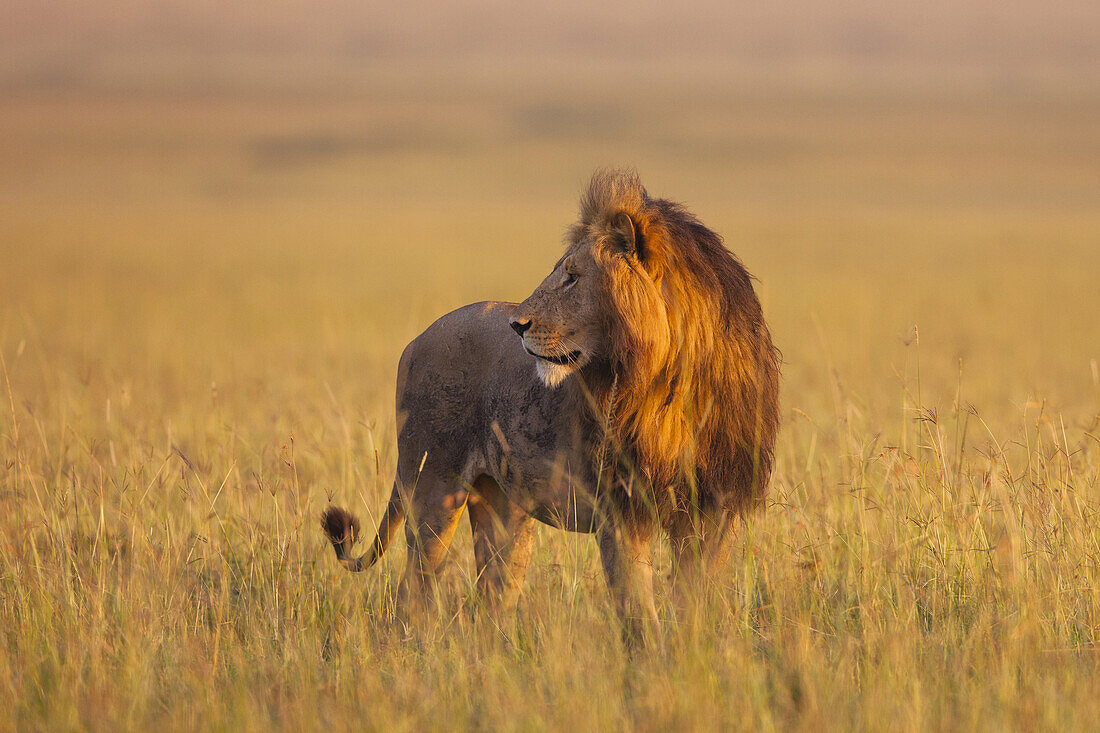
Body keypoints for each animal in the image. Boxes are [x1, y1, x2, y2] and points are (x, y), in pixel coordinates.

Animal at [321, 168, 783, 638]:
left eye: (573, 277)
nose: (517, 325)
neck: (670, 383)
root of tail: (414, 341)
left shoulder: (716, 508)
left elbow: (696, 601)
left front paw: (695, 646)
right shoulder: (620, 510)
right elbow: (638, 611)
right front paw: (653, 652)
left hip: (505, 513)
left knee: (492, 600)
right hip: (433, 487)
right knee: (411, 596)